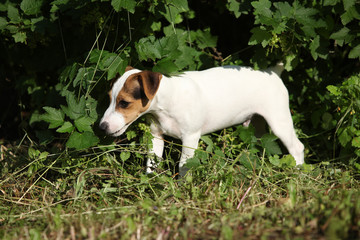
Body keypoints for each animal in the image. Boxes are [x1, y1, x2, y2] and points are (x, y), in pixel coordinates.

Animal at [100, 64, 306, 176]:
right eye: (109, 98)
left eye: (124, 103)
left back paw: (297, 173)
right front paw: (151, 183)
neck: (169, 99)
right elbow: (152, 163)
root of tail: (272, 72)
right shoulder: (156, 136)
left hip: (279, 120)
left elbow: (184, 167)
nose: (102, 127)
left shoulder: (190, 139)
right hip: (257, 126)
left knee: (297, 147)